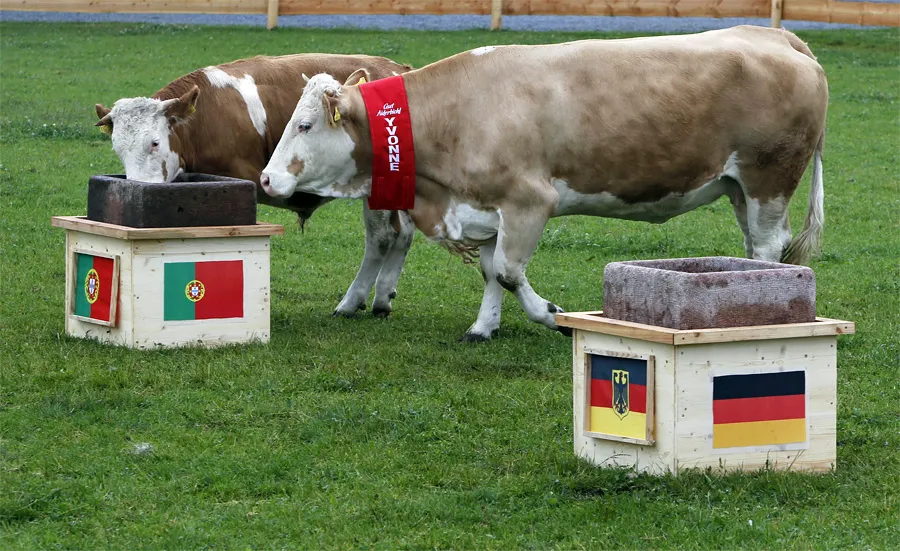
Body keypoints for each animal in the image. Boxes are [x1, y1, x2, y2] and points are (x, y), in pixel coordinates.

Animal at [94, 53, 416, 318]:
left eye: (155, 142)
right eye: (118, 150)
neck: (205, 119)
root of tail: (398, 68)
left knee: (382, 236)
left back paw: (351, 302)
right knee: (403, 233)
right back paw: (382, 298)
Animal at [259, 26, 829, 341]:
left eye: (304, 125)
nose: (265, 177)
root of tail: (775, 35)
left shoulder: (531, 200)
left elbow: (510, 272)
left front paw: (553, 315)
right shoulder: (488, 207)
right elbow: (491, 271)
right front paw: (483, 327)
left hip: (769, 179)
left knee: (767, 247)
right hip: (739, 188)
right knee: (756, 246)